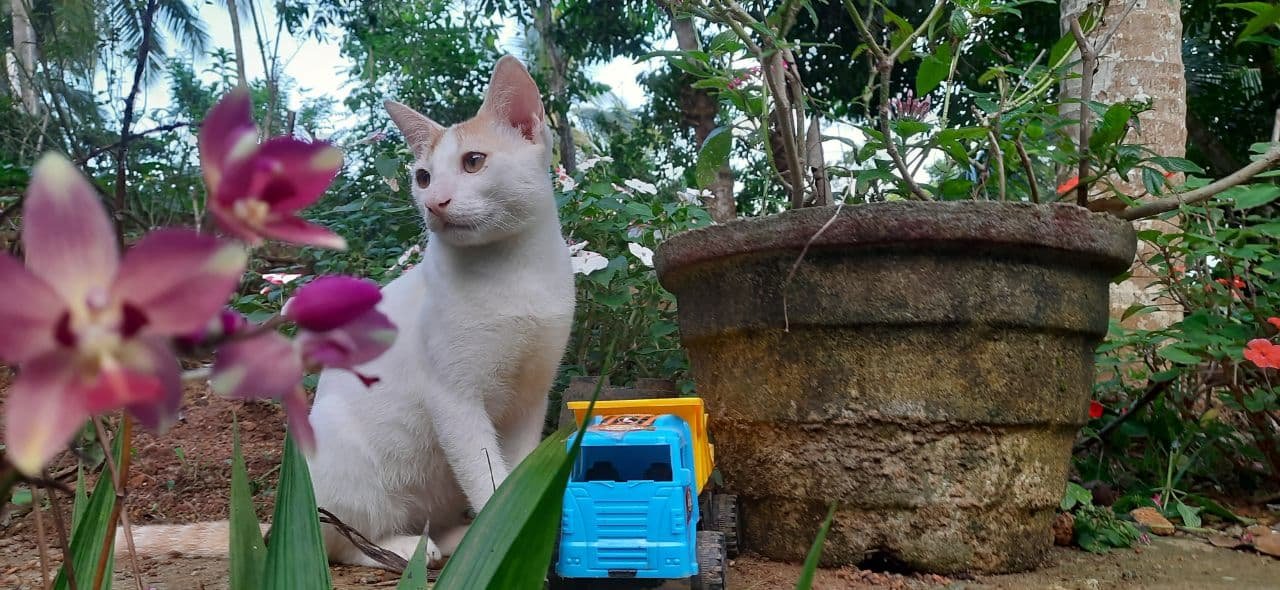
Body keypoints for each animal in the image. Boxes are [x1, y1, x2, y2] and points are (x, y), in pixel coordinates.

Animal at [120, 56, 576, 570]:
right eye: (423, 177)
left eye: (473, 162)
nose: (434, 202)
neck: (513, 274)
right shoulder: (455, 399)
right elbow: (486, 477)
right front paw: (505, 530)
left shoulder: (530, 398)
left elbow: (515, 470)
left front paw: (520, 517)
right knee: (342, 540)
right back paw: (409, 547)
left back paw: (457, 536)